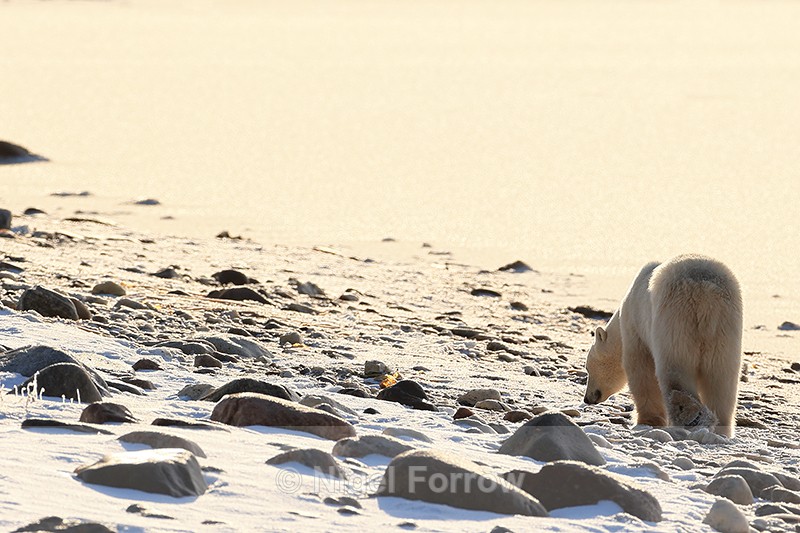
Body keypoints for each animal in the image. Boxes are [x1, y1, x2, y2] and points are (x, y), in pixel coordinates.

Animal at [583, 254, 743, 437]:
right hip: (725, 328)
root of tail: (704, 291)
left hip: (674, 319)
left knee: (675, 370)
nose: (587, 398)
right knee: (722, 378)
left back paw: (691, 416)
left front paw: (647, 421)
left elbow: (641, 370)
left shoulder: (636, 327)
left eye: (588, 368)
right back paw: (720, 428)